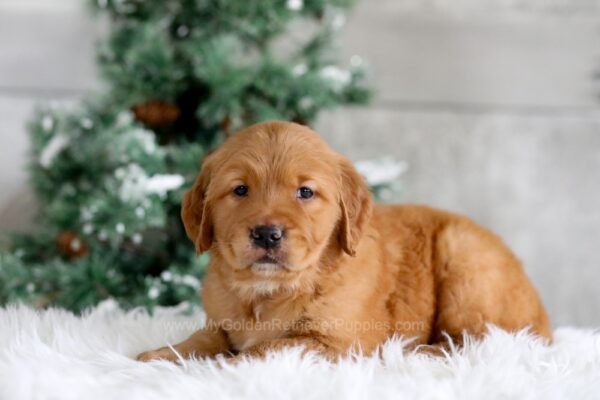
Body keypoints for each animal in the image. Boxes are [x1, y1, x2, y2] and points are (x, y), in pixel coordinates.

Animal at [138, 120, 552, 360]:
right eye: (240, 190)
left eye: (305, 192)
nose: (267, 233)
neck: (269, 291)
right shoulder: (219, 321)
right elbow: (201, 340)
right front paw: (159, 356)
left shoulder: (335, 340)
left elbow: (264, 348)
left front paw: (224, 364)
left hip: (466, 261)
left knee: (476, 339)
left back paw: (420, 351)